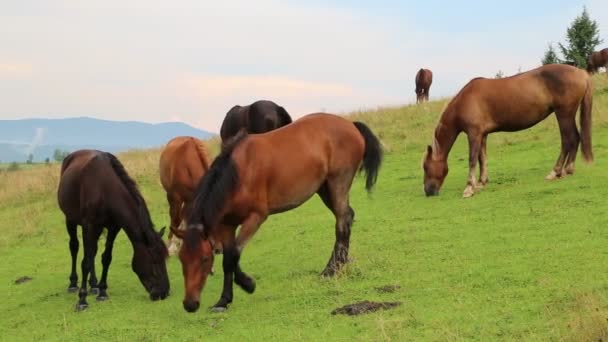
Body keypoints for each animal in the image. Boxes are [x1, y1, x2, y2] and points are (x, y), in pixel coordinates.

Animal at [58, 150, 170, 310]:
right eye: (154, 261)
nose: (164, 292)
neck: (104, 187)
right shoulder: (88, 225)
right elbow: (85, 262)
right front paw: (82, 300)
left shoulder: (113, 228)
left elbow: (106, 258)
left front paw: (102, 291)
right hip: (71, 220)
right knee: (74, 247)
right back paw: (73, 284)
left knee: (93, 251)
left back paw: (94, 285)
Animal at [169, 113, 382, 312]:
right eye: (182, 260)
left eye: (204, 260)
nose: (190, 304)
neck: (236, 175)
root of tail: (350, 124)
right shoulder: (227, 226)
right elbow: (228, 260)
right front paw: (224, 300)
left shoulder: (256, 218)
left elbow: (234, 255)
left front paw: (248, 284)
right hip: (324, 189)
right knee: (347, 217)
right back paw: (339, 264)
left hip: (338, 183)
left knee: (342, 222)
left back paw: (331, 270)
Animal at [422, 63, 592, 198]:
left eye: (425, 167)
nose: (428, 191)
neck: (464, 102)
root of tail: (581, 73)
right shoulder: (482, 135)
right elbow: (482, 158)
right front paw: (481, 182)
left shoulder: (474, 134)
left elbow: (472, 159)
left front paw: (469, 188)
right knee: (575, 139)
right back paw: (567, 170)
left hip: (564, 114)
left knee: (569, 140)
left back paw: (556, 171)